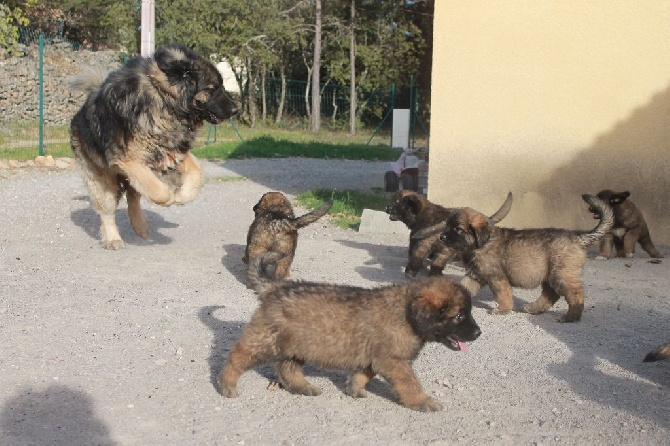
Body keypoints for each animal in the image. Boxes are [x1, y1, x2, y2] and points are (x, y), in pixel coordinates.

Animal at [70, 43, 239, 249]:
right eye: (212, 88)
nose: (236, 110)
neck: (164, 100)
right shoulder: (130, 161)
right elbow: (158, 190)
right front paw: (169, 198)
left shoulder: (173, 152)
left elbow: (197, 174)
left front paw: (182, 196)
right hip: (102, 178)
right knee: (108, 209)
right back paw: (113, 238)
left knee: (133, 197)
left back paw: (140, 226)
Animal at [220, 251, 484, 412]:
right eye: (459, 316)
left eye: (468, 313)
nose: (478, 333)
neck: (406, 312)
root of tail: (275, 287)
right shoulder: (394, 361)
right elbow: (410, 383)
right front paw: (422, 401)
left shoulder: (375, 358)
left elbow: (363, 374)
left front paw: (354, 389)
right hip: (267, 339)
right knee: (238, 355)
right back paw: (227, 384)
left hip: (299, 344)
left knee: (286, 368)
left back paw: (303, 387)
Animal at [386, 191, 516, 278]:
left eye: (396, 203)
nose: (386, 207)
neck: (422, 212)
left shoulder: (414, 240)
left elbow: (412, 253)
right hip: (447, 248)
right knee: (438, 262)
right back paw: (436, 275)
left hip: (425, 244)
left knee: (417, 257)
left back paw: (410, 272)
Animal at [438, 193, 616, 322]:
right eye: (447, 226)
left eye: (457, 228)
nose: (441, 237)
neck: (481, 243)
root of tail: (576, 237)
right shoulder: (475, 275)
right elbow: (463, 287)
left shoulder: (497, 278)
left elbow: (502, 295)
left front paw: (503, 310)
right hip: (549, 275)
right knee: (551, 294)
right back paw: (533, 308)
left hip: (561, 274)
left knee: (575, 294)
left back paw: (570, 317)